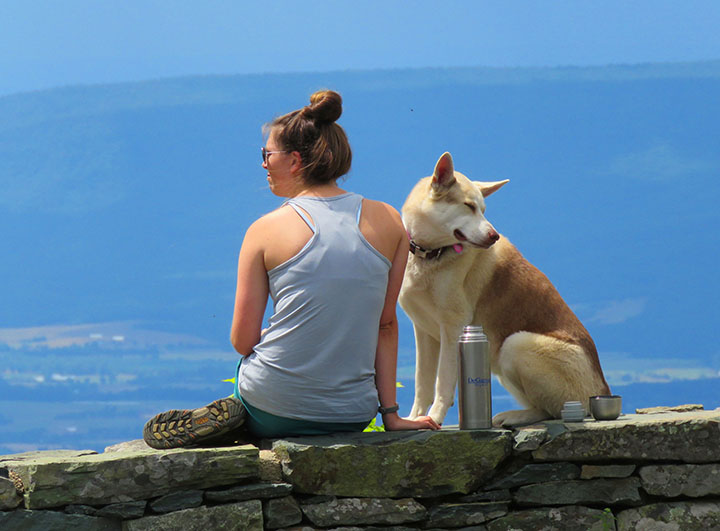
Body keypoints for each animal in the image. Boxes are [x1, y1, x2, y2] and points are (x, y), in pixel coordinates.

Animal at [396, 152, 612, 426]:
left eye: (484, 210)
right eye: (469, 206)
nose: (494, 236)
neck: (431, 254)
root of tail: (602, 390)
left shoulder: (453, 328)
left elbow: (442, 381)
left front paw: (434, 417)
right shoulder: (423, 332)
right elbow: (422, 383)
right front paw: (415, 418)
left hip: (515, 344)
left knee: (551, 410)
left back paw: (514, 416)